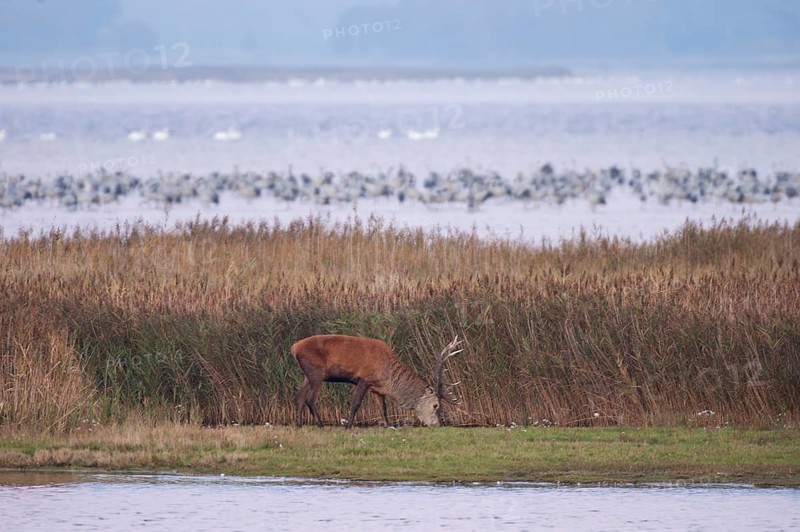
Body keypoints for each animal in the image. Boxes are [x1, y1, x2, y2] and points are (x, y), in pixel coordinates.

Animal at [291, 334, 462, 428]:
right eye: (435, 405)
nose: (438, 424)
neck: (387, 377)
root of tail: (294, 348)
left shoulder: (376, 388)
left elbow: (383, 409)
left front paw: (389, 426)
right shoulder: (364, 379)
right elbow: (356, 404)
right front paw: (348, 426)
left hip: (306, 375)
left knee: (299, 396)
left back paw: (299, 425)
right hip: (317, 372)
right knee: (310, 399)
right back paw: (320, 425)